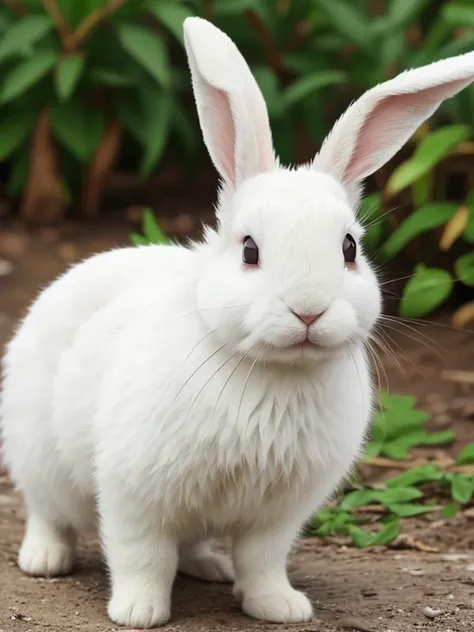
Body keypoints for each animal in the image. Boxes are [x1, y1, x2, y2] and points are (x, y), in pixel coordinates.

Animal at [2, 17, 474, 628]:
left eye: (349, 248)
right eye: (249, 250)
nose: (308, 309)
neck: (270, 370)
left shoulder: (278, 515)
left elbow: (262, 560)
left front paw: (280, 606)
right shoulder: (137, 496)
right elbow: (141, 556)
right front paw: (138, 611)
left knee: (194, 544)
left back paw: (210, 567)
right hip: (39, 457)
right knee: (47, 512)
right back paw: (45, 560)